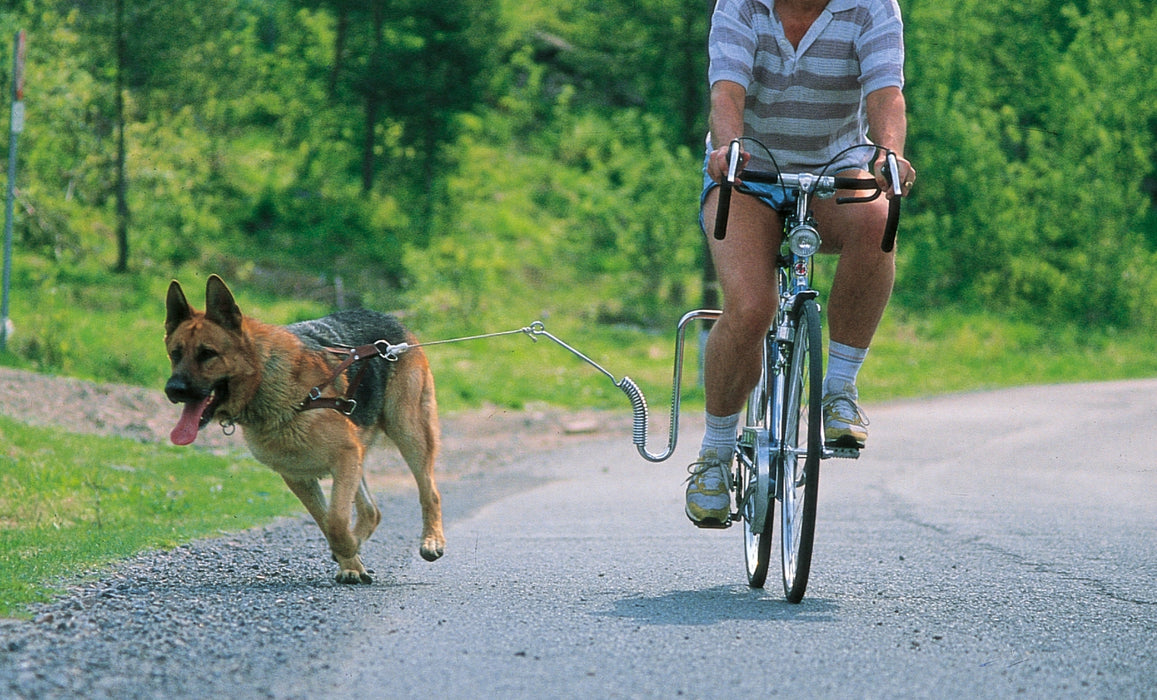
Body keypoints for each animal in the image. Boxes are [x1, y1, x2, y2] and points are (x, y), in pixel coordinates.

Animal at [165, 275, 444, 580]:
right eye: (175, 354)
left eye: (207, 354)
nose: (172, 390)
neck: (268, 382)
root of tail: (390, 320)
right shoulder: (300, 475)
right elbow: (326, 521)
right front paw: (350, 560)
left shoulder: (343, 458)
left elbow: (336, 521)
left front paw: (349, 554)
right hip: (359, 454)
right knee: (372, 512)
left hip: (409, 434)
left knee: (429, 492)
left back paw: (432, 541)